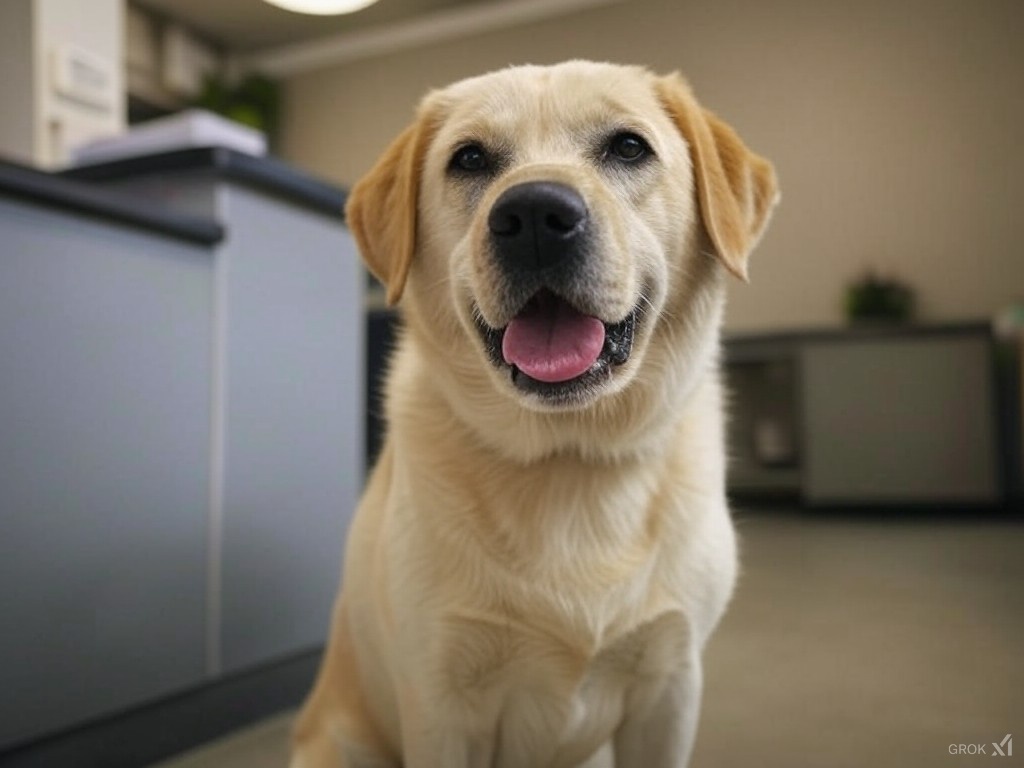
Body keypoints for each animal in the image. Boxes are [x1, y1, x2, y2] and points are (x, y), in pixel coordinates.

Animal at [292, 61, 778, 768]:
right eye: (469, 159)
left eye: (628, 147)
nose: (535, 215)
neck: (567, 459)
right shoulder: (440, 703)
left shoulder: (671, 684)